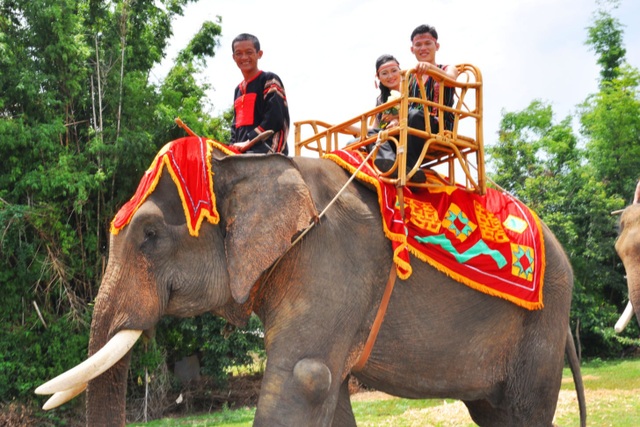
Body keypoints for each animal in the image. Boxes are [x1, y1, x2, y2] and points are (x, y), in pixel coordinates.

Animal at [35, 139, 584, 426]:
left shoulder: (333, 261)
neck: (245, 162)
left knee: (522, 411)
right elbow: (328, 386)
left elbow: (306, 377)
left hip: (541, 325)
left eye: (149, 236)